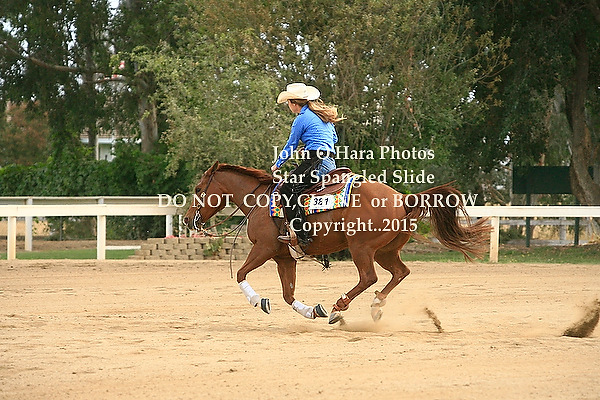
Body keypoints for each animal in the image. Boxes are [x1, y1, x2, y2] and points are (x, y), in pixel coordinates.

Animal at [183, 161, 492, 324]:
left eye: (198, 188)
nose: (187, 220)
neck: (260, 201)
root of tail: (403, 199)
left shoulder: (264, 249)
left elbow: (240, 273)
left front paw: (259, 300)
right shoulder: (283, 257)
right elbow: (288, 294)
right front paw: (311, 311)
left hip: (361, 248)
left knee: (369, 277)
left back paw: (338, 307)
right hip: (385, 250)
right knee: (400, 272)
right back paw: (375, 305)